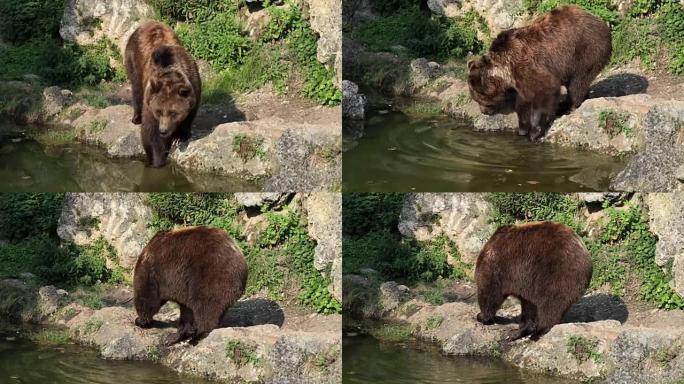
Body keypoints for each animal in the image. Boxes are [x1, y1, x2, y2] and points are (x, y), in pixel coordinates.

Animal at [124, 21, 202, 167]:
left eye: (174, 112)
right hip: (133, 59)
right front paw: (156, 160)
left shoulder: (194, 88)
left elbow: (189, 116)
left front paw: (180, 136)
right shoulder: (150, 101)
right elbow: (151, 133)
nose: (164, 130)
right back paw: (136, 118)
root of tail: (147, 22)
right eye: (159, 111)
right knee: (136, 88)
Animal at [468, 5, 612, 141]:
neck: (505, 70)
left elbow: (545, 92)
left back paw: (568, 106)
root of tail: (601, 22)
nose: (484, 112)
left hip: (585, 52)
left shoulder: (527, 67)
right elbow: (523, 103)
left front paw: (534, 132)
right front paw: (522, 128)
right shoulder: (520, 80)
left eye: (479, 99)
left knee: (577, 83)